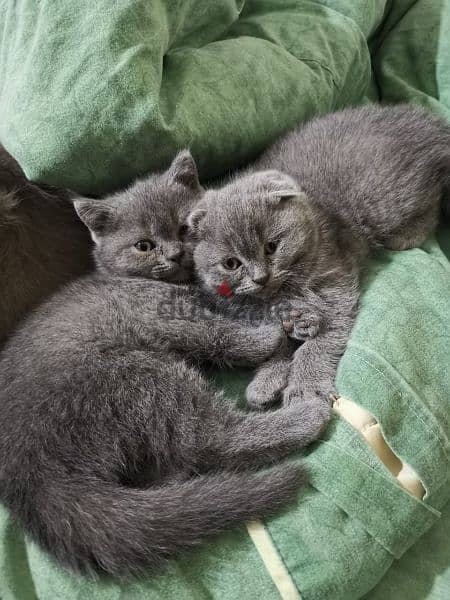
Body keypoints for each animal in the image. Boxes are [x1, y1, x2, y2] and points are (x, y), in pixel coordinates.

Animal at [190, 105, 450, 410]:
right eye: (232, 264)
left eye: (271, 247)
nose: (260, 277)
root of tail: (427, 121)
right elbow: (274, 341)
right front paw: (266, 382)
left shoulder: (336, 287)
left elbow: (319, 342)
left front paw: (305, 390)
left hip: (393, 200)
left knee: (433, 203)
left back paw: (405, 236)